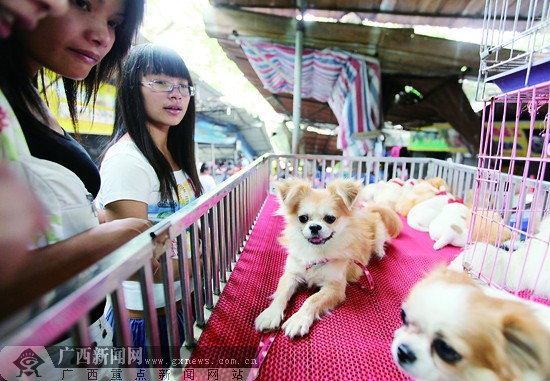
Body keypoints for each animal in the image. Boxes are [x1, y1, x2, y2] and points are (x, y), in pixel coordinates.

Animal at [256, 177, 404, 336]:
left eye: (330, 218)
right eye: (303, 218)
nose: (314, 226)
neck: (317, 252)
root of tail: (367, 210)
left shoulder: (334, 288)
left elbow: (312, 299)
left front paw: (298, 319)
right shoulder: (291, 275)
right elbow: (281, 293)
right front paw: (270, 314)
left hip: (379, 231)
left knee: (381, 240)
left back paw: (379, 251)